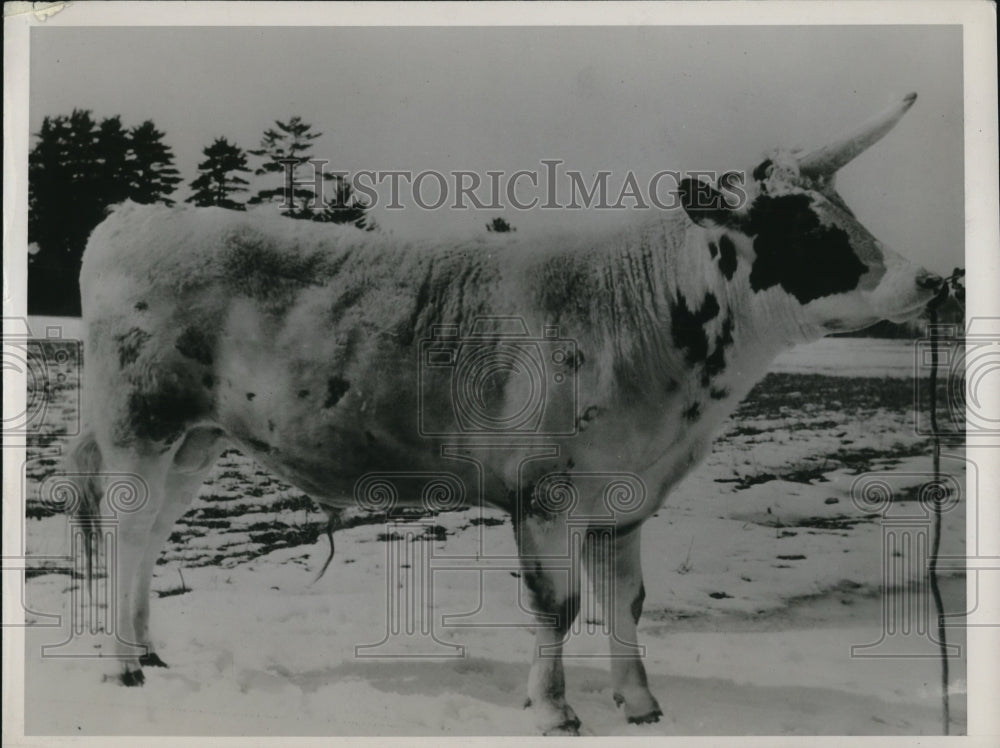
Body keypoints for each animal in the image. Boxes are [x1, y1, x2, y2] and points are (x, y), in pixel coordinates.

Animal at [65, 93, 941, 735]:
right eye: (806, 226)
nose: (933, 279)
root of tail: (135, 214)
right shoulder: (544, 492)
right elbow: (559, 604)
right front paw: (553, 710)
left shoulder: (625, 498)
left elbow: (626, 601)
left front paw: (640, 703)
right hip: (139, 424)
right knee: (126, 531)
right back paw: (119, 664)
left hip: (195, 439)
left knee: (152, 534)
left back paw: (149, 650)